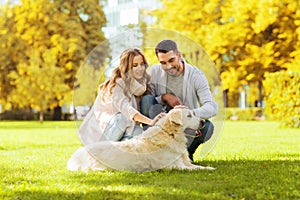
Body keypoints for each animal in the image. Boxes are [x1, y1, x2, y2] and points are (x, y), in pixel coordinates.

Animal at [67, 108, 214, 172]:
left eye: (193, 114)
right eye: (189, 116)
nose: (203, 121)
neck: (170, 135)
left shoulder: (183, 163)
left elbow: (197, 166)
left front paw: (209, 167)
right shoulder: (175, 166)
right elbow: (195, 169)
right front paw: (210, 169)